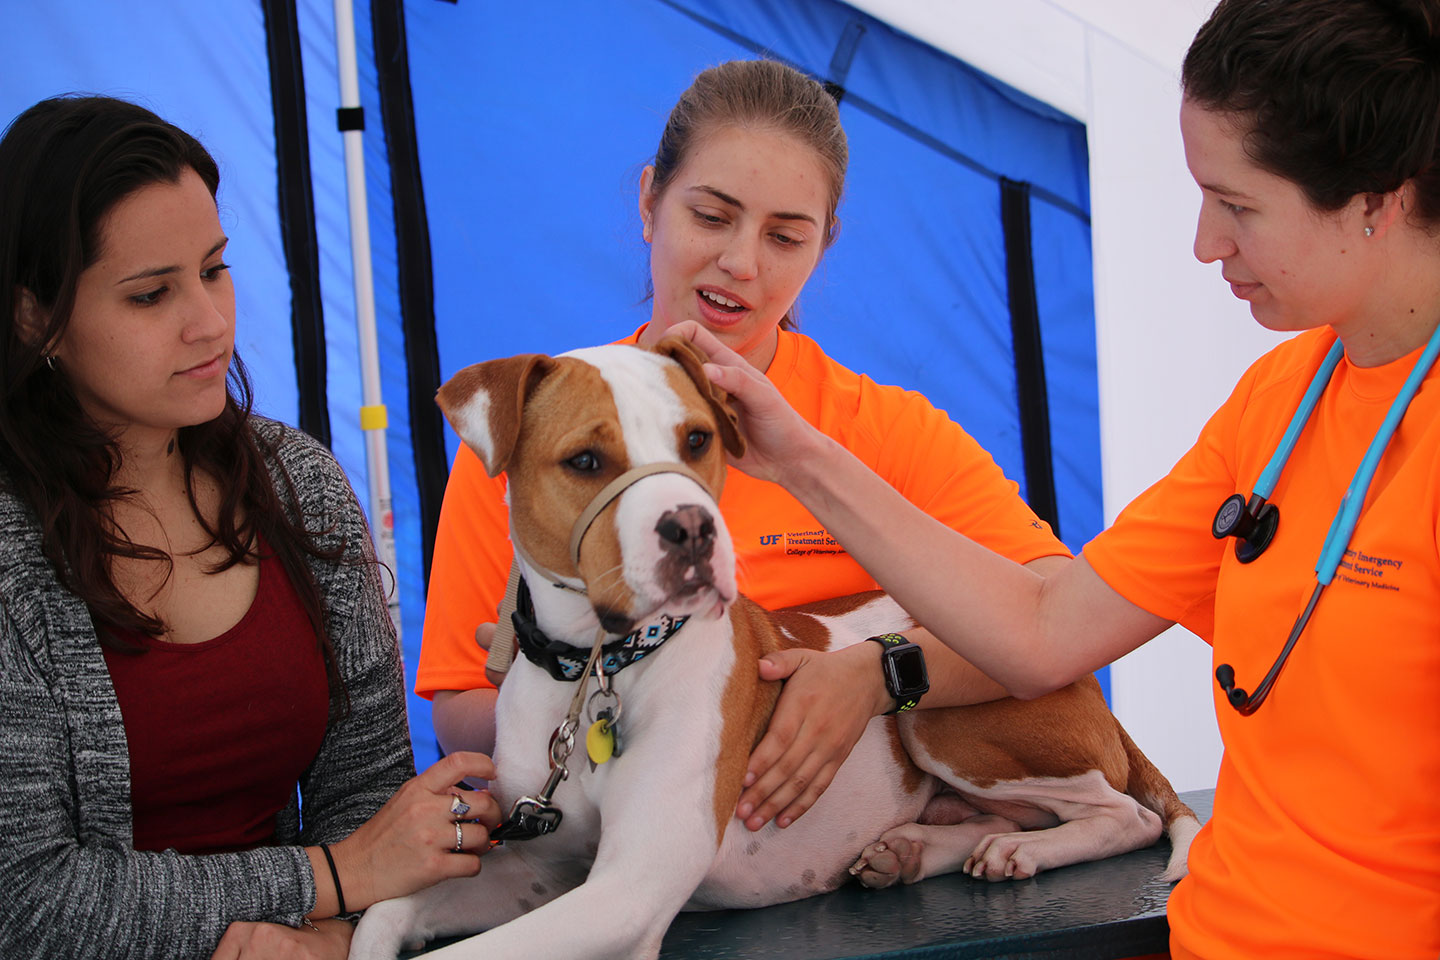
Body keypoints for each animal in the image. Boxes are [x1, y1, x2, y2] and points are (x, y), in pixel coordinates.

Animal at [351, 341, 1203, 955]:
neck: (597, 670)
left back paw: (1023, 851)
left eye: (697, 439)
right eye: (585, 461)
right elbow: (386, 913)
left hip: (938, 717)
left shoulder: (627, 889)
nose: (691, 526)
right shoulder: (543, 869)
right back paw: (919, 848)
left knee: (1128, 814)